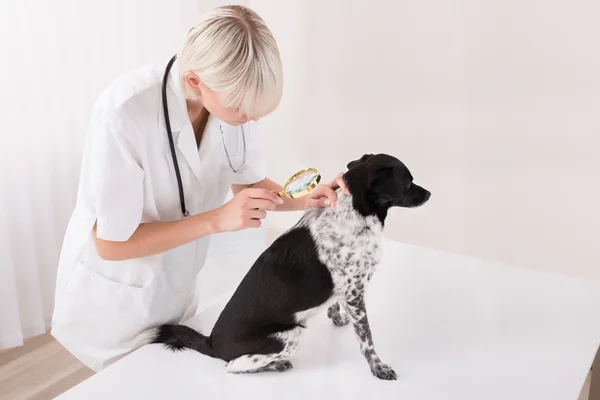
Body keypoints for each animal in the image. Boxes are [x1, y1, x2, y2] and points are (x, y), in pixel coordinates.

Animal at [134, 154, 428, 382]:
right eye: (408, 182)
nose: (430, 193)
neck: (353, 210)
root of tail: (211, 343)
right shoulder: (356, 293)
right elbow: (367, 340)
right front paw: (378, 368)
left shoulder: (346, 288)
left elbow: (336, 304)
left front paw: (337, 317)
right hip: (290, 335)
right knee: (233, 367)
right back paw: (276, 364)